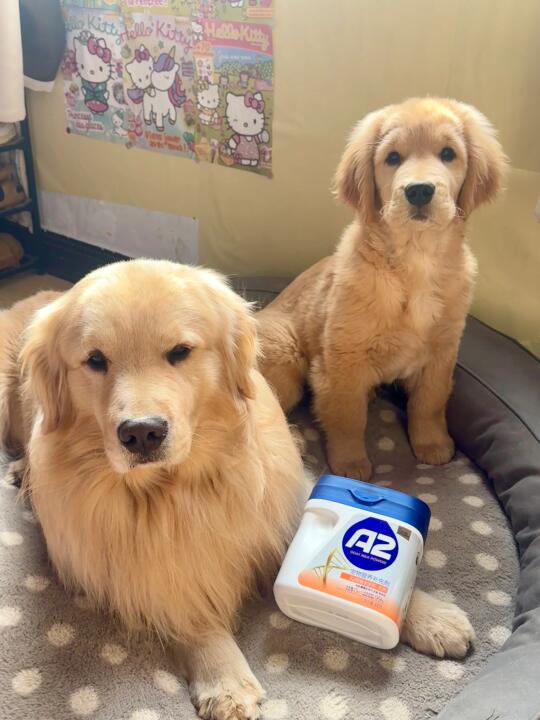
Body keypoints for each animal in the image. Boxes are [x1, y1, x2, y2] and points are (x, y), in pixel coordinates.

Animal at [0, 259, 475, 719]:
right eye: (95, 360)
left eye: (180, 352)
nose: (142, 434)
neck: (177, 485)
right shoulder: (142, 570)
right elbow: (188, 607)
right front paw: (224, 681)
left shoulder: (282, 504)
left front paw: (433, 617)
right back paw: (22, 469)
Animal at [258, 98, 507, 482]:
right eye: (392, 158)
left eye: (448, 153)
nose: (419, 190)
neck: (414, 263)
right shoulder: (342, 360)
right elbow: (347, 416)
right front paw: (349, 464)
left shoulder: (442, 352)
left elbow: (430, 401)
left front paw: (432, 444)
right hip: (284, 360)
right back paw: (295, 439)